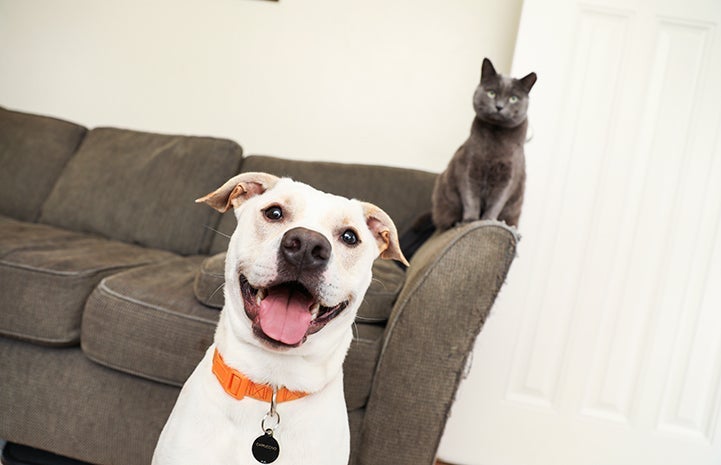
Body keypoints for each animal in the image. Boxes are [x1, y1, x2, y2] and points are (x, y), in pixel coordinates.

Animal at [428, 58, 536, 230]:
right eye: (491, 93)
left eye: (513, 98)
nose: (499, 106)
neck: (495, 140)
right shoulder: (468, 167)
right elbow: (470, 198)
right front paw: (470, 220)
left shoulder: (509, 177)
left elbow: (497, 202)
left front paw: (488, 220)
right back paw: (455, 222)